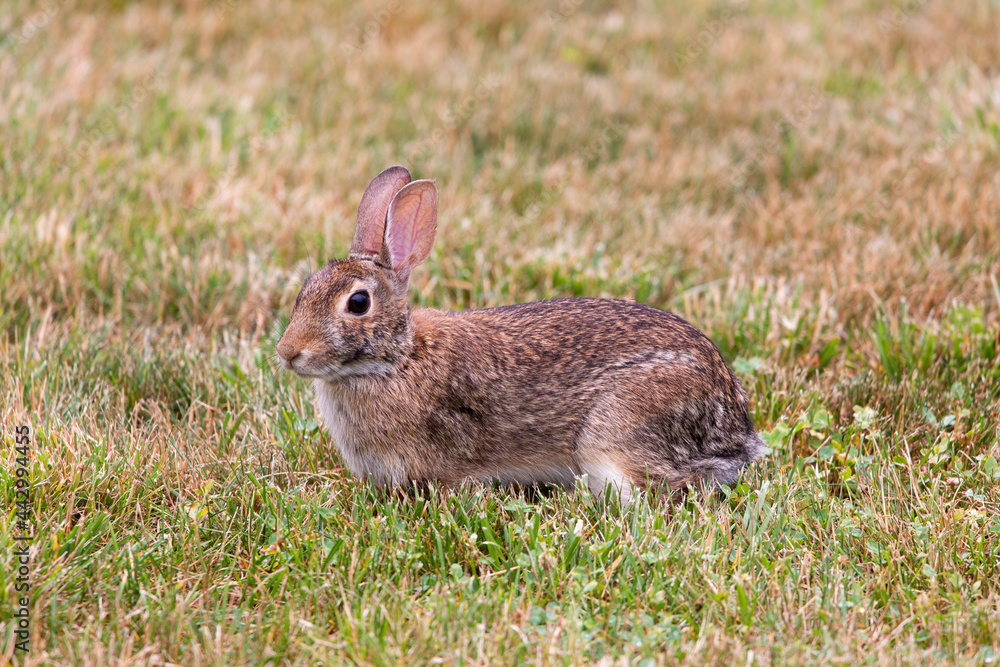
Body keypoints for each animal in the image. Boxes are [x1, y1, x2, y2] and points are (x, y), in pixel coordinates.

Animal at [276, 166, 764, 501]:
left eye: (358, 303)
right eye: (307, 286)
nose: (286, 352)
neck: (397, 359)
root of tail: (736, 432)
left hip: (616, 435)